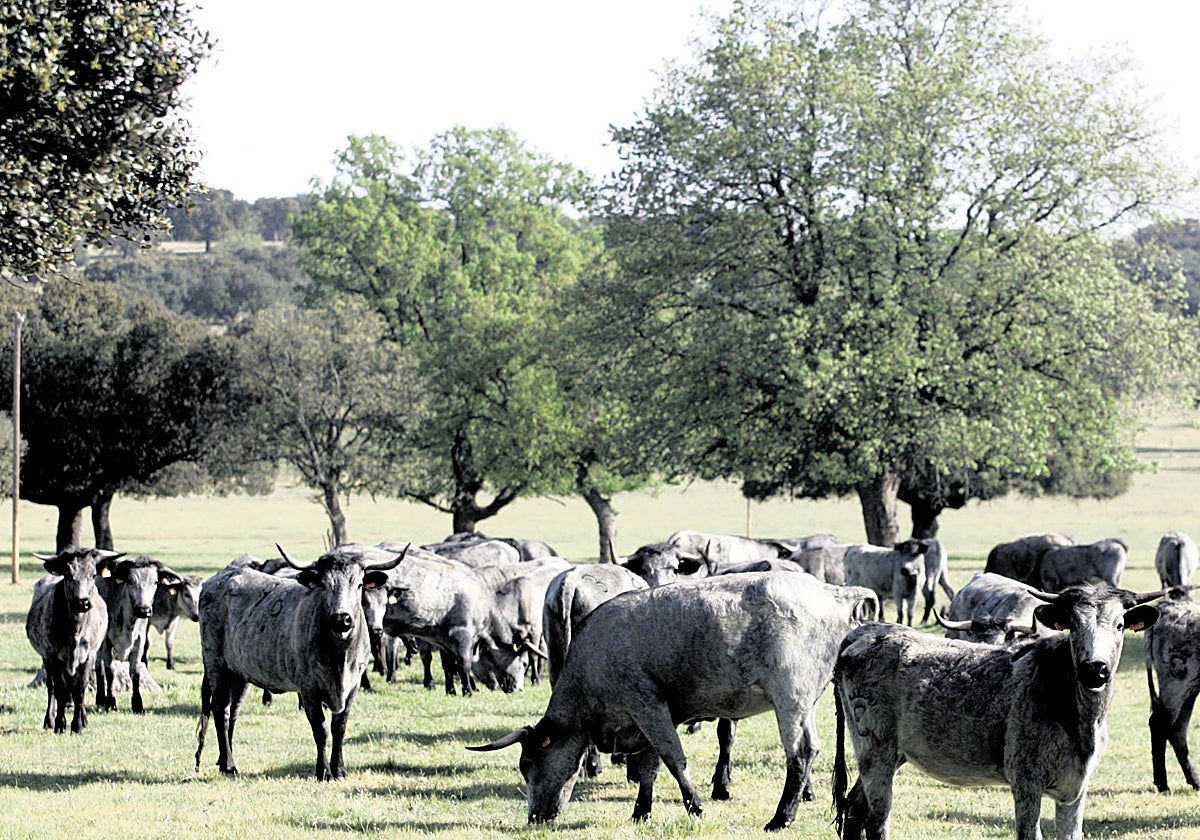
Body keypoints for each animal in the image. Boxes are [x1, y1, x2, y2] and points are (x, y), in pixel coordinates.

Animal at [24, 548, 116, 734]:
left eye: (93, 574)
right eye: (68, 574)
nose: (83, 601)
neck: (75, 630)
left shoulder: (89, 655)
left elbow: (80, 688)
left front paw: (78, 725)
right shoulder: (53, 656)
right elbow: (59, 688)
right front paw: (60, 724)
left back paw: (83, 718)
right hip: (46, 658)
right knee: (52, 686)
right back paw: (49, 720)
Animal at [94, 555, 185, 714]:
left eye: (155, 582)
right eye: (130, 581)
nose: (144, 610)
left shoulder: (139, 641)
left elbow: (135, 672)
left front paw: (137, 704)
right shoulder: (106, 643)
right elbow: (110, 671)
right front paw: (110, 702)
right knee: (98, 668)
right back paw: (100, 699)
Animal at [195, 543, 405, 780]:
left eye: (359, 584)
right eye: (324, 585)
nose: (341, 619)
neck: (339, 656)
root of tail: (217, 579)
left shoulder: (353, 686)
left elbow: (339, 727)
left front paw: (339, 769)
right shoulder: (309, 689)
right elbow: (321, 729)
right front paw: (324, 771)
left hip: (240, 674)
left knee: (233, 712)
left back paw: (224, 760)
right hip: (216, 665)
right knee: (220, 710)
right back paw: (229, 765)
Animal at [469, 572, 879, 831]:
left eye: (528, 764)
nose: (534, 817)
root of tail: (833, 593)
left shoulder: (647, 705)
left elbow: (672, 757)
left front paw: (695, 804)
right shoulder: (650, 716)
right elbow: (650, 765)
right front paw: (641, 811)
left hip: (790, 698)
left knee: (801, 752)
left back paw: (781, 817)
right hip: (805, 704)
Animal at [832, 583, 1162, 840]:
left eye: (1119, 625)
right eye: (1074, 624)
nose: (1095, 668)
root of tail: (866, 632)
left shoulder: (1076, 788)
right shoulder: (1026, 781)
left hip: (888, 755)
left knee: (854, 808)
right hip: (875, 752)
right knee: (877, 818)